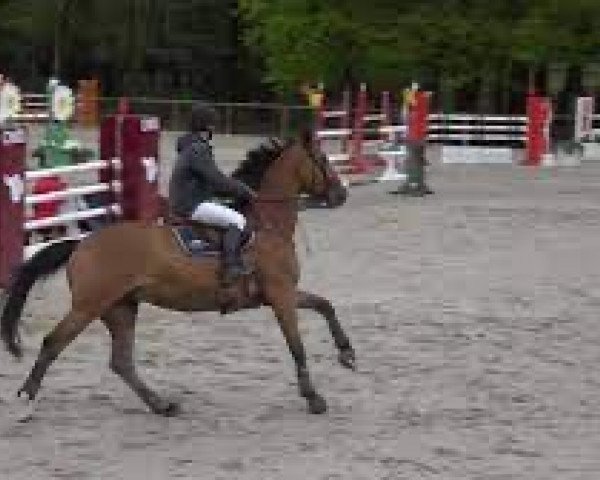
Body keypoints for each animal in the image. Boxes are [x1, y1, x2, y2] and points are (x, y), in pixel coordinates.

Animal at [0, 131, 354, 420]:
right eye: (323, 160)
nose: (342, 194)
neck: (268, 225)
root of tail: (82, 243)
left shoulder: (280, 294)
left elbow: (326, 305)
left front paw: (347, 355)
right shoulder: (281, 295)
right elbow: (297, 345)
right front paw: (314, 398)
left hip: (121, 308)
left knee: (121, 362)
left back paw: (162, 405)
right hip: (88, 307)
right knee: (53, 344)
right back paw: (26, 402)